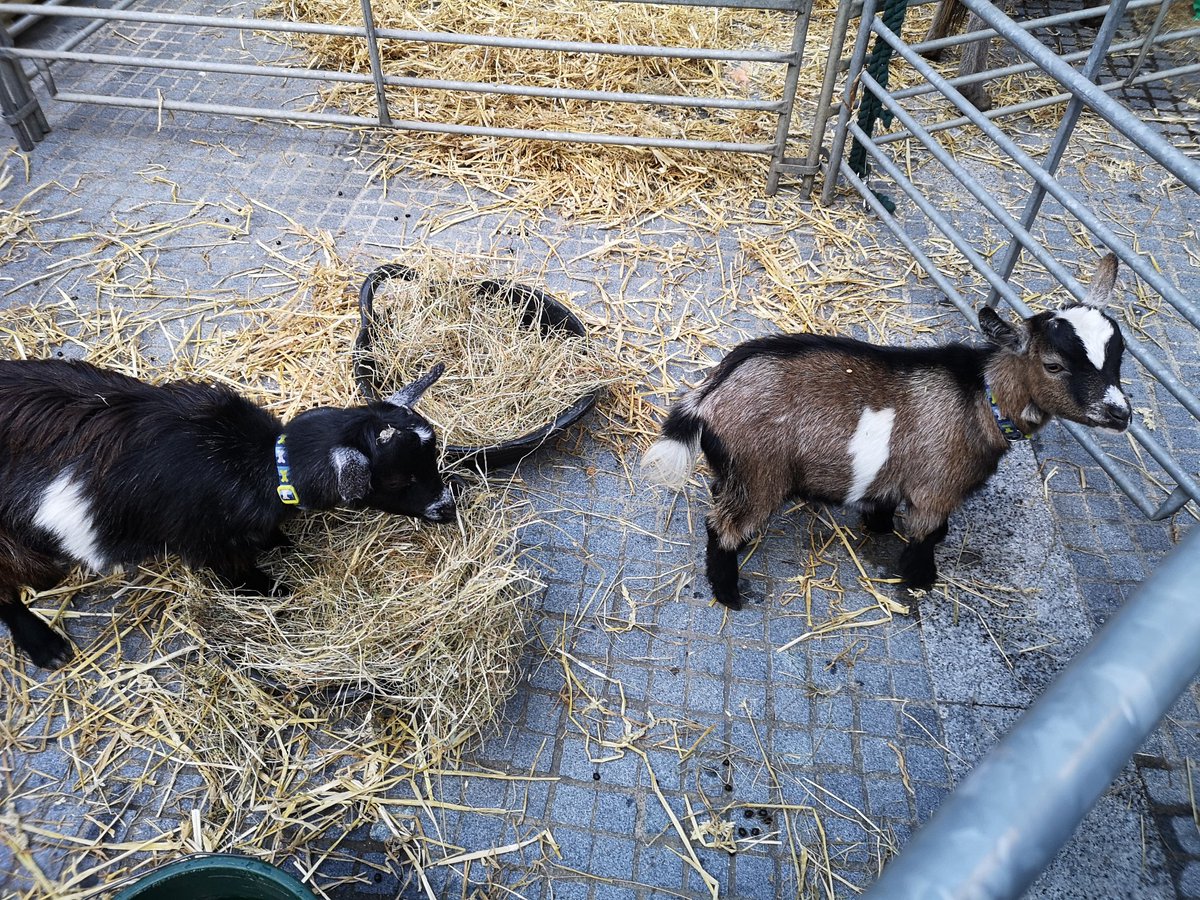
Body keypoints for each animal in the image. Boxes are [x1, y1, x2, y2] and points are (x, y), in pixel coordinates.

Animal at [0, 358, 454, 669]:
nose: (448, 510)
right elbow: (236, 569)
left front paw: (279, 541)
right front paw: (272, 590)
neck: (260, 463)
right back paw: (47, 647)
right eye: (399, 479)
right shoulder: (205, 539)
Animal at [643, 254, 1130, 610]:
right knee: (721, 527)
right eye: (1054, 364)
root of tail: (709, 396)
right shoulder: (937, 489)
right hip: (761, 474)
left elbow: (883, 502)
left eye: (1119, 354)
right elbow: (928, 535)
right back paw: (730, 593)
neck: (979, 398)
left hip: (737, 470)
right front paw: (920, 581)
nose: (1120, 413)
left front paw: (876, 526)